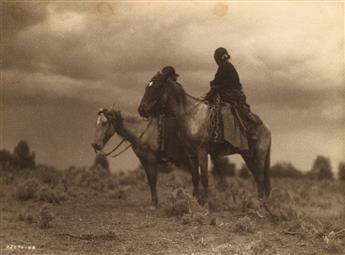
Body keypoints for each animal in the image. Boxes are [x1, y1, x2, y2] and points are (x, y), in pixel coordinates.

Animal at [138, 72, 272, 202]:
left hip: (259, 156)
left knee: (260, 177)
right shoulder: (190, 154)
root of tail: (266, 128)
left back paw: (261, 203)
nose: (141, 109)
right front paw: (196, 200)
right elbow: (195, 178)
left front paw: (206, 202)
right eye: (147, 87)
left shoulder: (202, 151)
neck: (192, 116)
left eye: (158, 86)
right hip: (248, 156)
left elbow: (204, 178)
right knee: (257, 177)